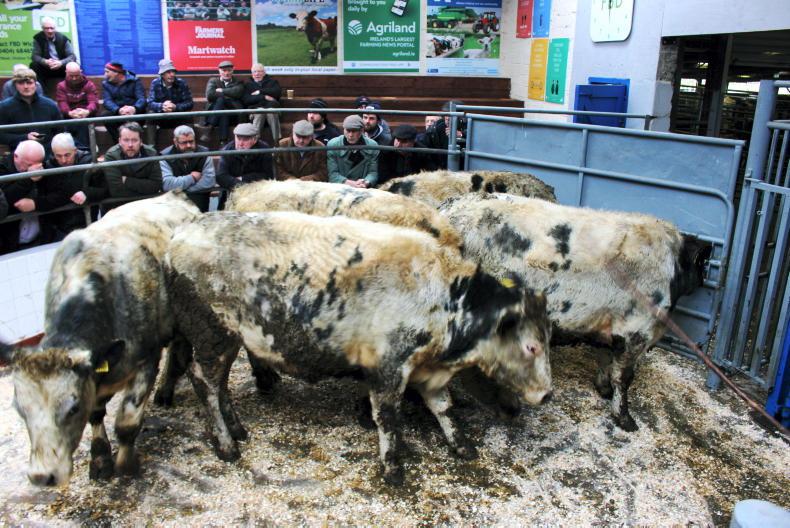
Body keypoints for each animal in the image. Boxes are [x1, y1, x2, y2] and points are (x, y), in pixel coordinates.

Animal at [1, 192, 200, 487]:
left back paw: (166, 390)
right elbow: (96, 414)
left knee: (179, 352)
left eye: (72, 408)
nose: (42, 476)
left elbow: (127, 423)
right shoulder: (92, 376)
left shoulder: (145, 361)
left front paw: (126, 465)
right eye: (19, 409)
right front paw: (100, 459)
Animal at [164, 211, 553, 484]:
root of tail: (180, 234)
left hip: (227, 340)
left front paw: (461, 444)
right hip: (212, 334)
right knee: (205, 382)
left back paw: (237, 429)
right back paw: (226, 444)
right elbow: (388, 417)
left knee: (220, 383)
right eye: (532, 347)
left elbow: (443, 407)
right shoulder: (388, 368)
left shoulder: (427, 369)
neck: (443, 295)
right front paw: (392, 467)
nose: (548, 394)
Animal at [440, 194, 711, 431]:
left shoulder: (609, 327)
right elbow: (624, 378)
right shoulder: (636, 331)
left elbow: (606, 361)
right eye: (703, 264)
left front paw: (603, 389)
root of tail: (448, 208)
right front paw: (626, 420)